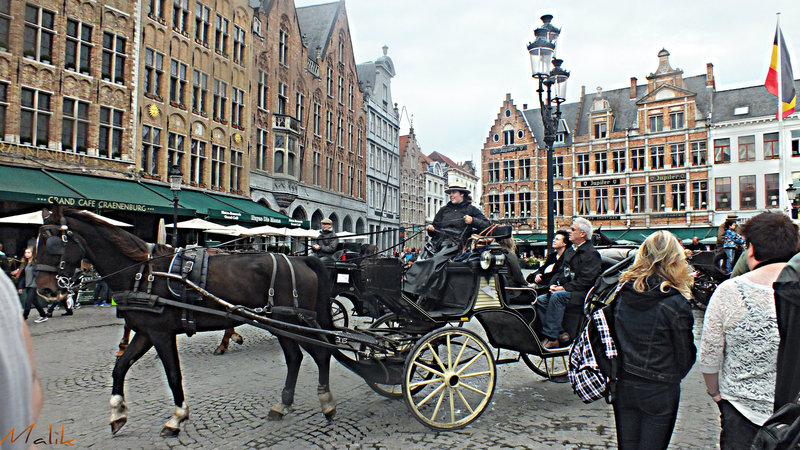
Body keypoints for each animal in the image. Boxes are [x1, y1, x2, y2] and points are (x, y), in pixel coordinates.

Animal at [33, 206, 334, 438]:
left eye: (52, 243)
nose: (44, 290)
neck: (142, 273)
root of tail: (303, 260)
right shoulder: (146, 332)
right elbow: (119, 368)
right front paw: (117, 414)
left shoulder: (161, 333)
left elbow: (173, 374)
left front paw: (176, 418)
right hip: (281, 323)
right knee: (296, 357)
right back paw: (283, 405)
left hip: (292, 320)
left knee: (322, 353)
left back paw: (326, 402)